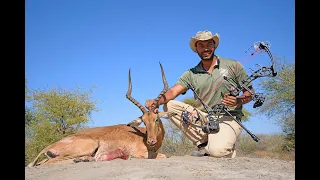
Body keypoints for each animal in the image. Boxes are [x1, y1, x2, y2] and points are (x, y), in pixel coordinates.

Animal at [26, 63, 172, 167]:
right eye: (144, 122)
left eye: (156, 119)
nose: (151, 141)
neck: (142, 135)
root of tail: (48, 147)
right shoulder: (143, 153)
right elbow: (163, 156)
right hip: (88, 146)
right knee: (49, 163)